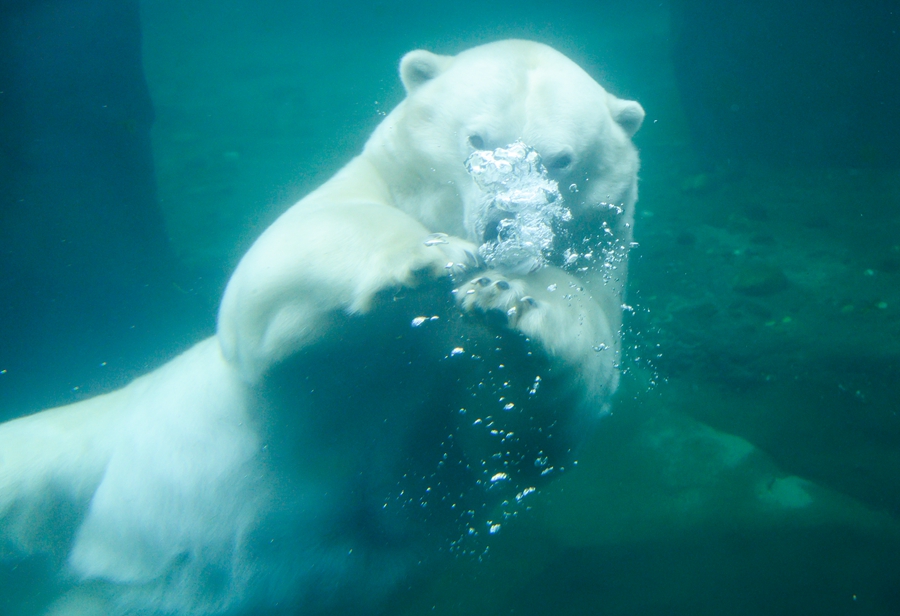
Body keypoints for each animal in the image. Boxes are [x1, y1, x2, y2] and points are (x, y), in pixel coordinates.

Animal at [1, 41, 648, 612]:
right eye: (477, 140)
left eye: (561, 160)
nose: (502, 226)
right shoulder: (373, 186)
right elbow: (284, 256)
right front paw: (431, 258)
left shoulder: (597, 267)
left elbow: (530, 431)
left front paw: (505, 296)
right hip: (81, 458)